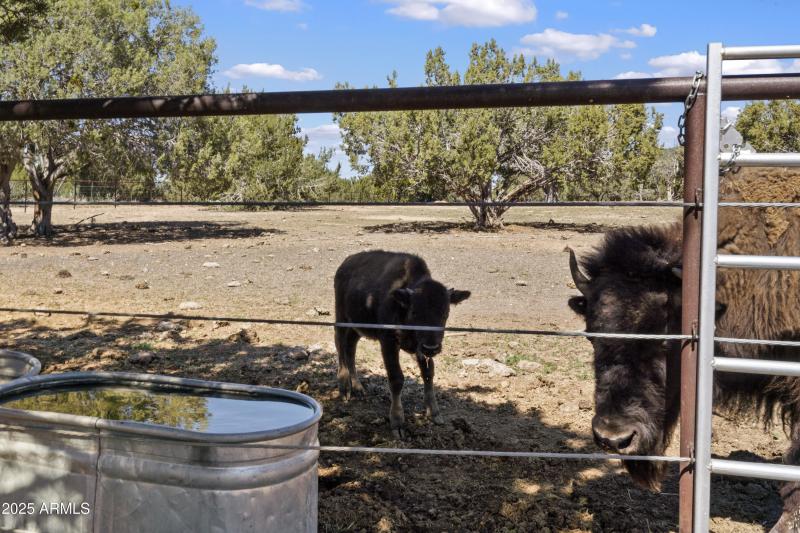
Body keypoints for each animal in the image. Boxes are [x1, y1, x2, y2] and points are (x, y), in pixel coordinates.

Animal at [334, 250, 470, 438]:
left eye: (445, 313)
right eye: (414, 312)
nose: (432, 348)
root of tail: (345, 263)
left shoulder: (420, 349)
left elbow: (428, 373)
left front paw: (434, 413)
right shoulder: (388, 342)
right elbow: (396, 378)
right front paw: (397, 422)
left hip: (358, 326)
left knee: (350, 348)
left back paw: (358, 387)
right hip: (341, 317)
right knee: (340, 345)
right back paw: (344, 388)